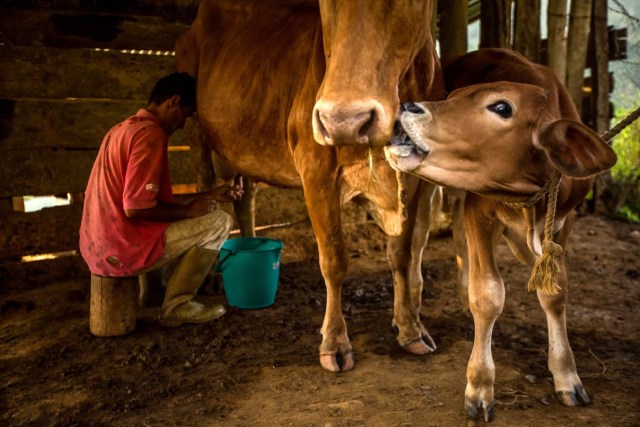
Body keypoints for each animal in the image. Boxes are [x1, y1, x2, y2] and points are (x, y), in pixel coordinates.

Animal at [175, 0, 444, 372]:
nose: (344, 121)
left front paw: (410, 328)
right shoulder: (316, 171)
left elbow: (402, 254)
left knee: (246, 198)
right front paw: (334, 342)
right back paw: (213, 276)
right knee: (207, 190)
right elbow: (333, 258)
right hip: (195, 130)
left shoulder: (414, 179)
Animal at [382, 49, 616, 422]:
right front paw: (479, 387)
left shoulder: (565, 222)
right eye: (452, 97)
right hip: (427, 188)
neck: (531, 198)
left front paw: (567, 377)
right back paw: (411, 308)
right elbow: (488, 294)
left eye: (502, 107)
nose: (407, 106)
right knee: (417, 239)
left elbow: (556, 294)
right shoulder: (481, 210)